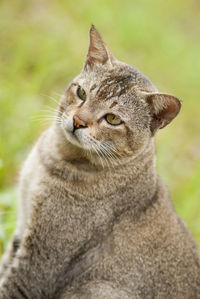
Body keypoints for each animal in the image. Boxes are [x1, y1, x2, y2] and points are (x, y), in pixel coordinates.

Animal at [0, 25, 200, 299]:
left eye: (113, 119)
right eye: (81, 93)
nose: (78, 121)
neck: (54, 155)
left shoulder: (39, 263)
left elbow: (9, 285)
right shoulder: (21, 228)